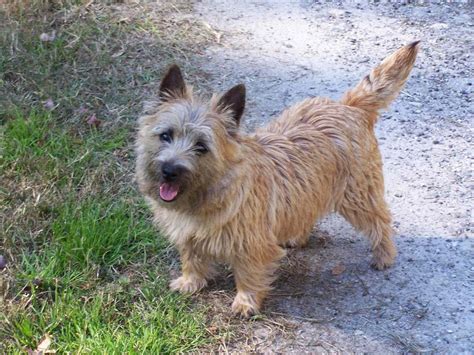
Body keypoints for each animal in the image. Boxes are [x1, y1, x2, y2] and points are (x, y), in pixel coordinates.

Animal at [136, 41, 418, 318]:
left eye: (201, 146)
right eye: (165, 135)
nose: (169, 170)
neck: (206, 196)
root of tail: (349, 106)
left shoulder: (252, 245)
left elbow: (248, 274)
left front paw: (245, 302)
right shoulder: (188, 235)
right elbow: (192, 257)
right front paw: (190, 282)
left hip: (358, 195)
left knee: (380, 220)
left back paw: (384, 255)